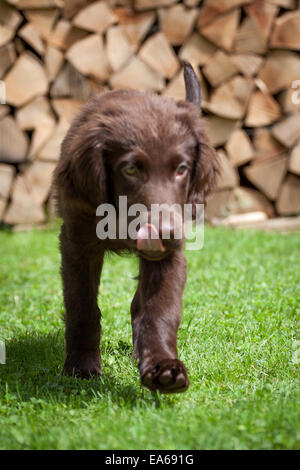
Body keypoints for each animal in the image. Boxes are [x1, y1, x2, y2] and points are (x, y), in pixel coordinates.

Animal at [53, 62, 218, 392]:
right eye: (130, 169)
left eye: (182, 169)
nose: (166, 233)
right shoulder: (77, 243)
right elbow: (82, 308)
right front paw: (81, 368)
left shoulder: (169, 255)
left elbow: (159, 311)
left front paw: (163, 367)